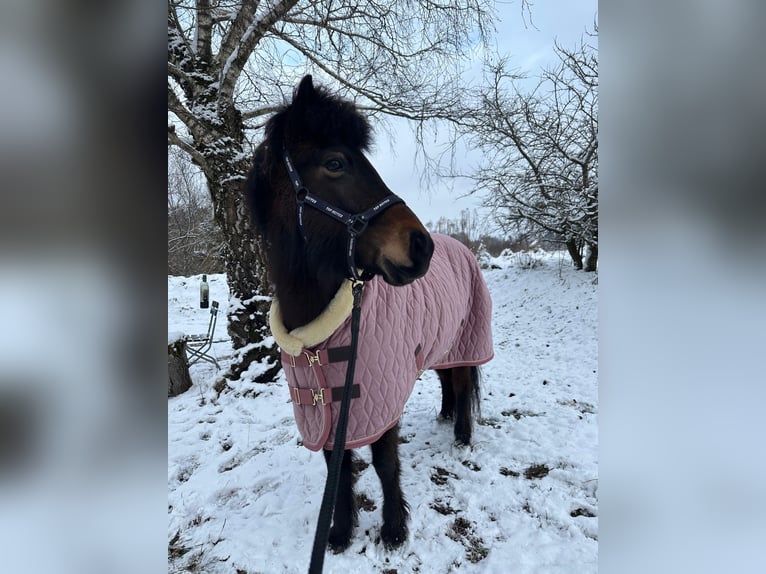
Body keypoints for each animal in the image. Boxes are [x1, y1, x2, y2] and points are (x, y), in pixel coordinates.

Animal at [245, 75, 493, 552]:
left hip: (464, 341)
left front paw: (394, 529)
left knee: (459, 378)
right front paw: (340, 532)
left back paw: (462, 437)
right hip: (439, 344)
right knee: (447, 381)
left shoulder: (378, 402)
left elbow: (384, 464)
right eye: (335, 163)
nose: (421, 246)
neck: (319, 335)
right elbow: (336, 469)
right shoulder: (326, 412)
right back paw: (446, 416)